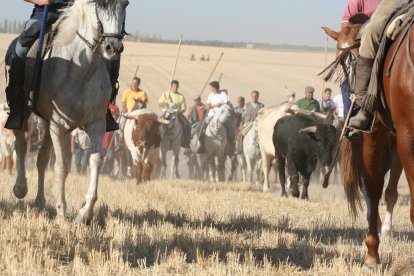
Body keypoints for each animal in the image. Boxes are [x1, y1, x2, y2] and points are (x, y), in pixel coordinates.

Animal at [11, 0, 128, 223]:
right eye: (101, 4)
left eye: (125, 4)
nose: (113, 48)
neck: (82, 68)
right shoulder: (59, 125)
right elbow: (61, 167)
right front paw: (62, 212)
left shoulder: (96, 124)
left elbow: (96, 161)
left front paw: (84, 214)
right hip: (25, 115)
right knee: (21, 145)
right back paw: (20, 188)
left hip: (49, 125)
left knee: (41, 159)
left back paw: (40, 201)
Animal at [320, 17, 408, 268]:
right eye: (339, 54)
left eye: (357, 48)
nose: (354, 92)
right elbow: (372, 187)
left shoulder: (399, 148)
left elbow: (391, 191)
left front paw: (386, 230)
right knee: (368, 188)